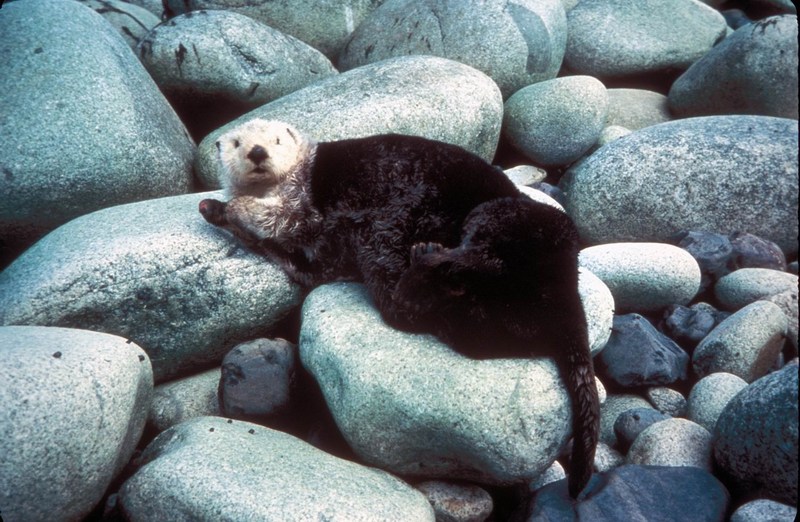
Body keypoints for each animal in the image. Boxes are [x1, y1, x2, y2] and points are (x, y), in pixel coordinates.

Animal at [200, 119, 600, 496]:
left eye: (277, 140)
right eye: (237, 143)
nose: (257, 152)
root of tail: (564, 293)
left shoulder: (301, 202)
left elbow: (282, 218)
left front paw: (232, 207)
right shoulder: (312, 255)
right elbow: (292, 252)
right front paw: (213, 207)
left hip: (509, 216)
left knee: (474, 254)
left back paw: (425, 256)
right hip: (482, 321)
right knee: (423, 307)